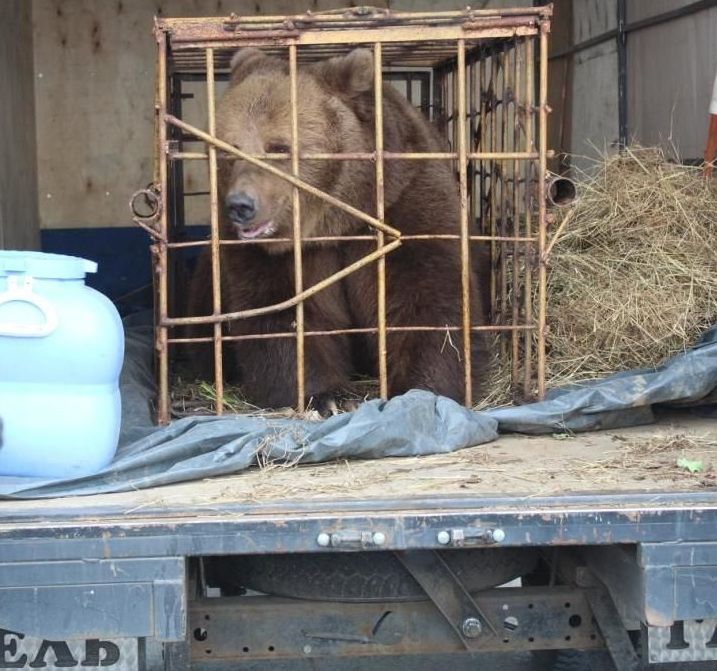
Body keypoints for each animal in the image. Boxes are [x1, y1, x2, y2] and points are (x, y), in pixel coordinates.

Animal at [185, 47, 490, 412]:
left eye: (279, 147)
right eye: (228, 150)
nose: (241, 205)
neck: (336, 219)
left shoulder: (405, 205)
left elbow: (426, 298)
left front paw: (422, 388)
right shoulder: (276, 254)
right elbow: (282, 311)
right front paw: (325, 396)